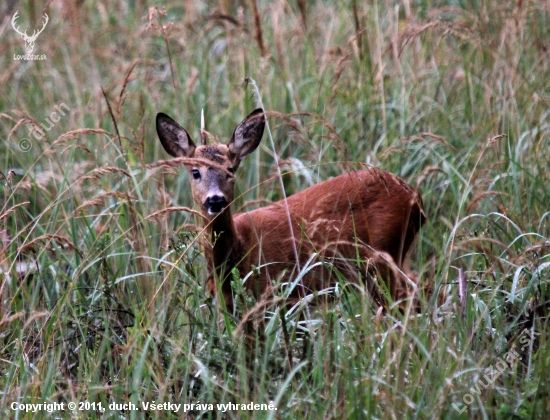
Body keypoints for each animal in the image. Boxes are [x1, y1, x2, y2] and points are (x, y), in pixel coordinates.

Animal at [155, 110, 426, 314]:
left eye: (230, 169)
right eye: (195, 172)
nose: (215, 200)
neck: (239, 253)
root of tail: (416, 199)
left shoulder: (283, 294)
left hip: (385, 253)